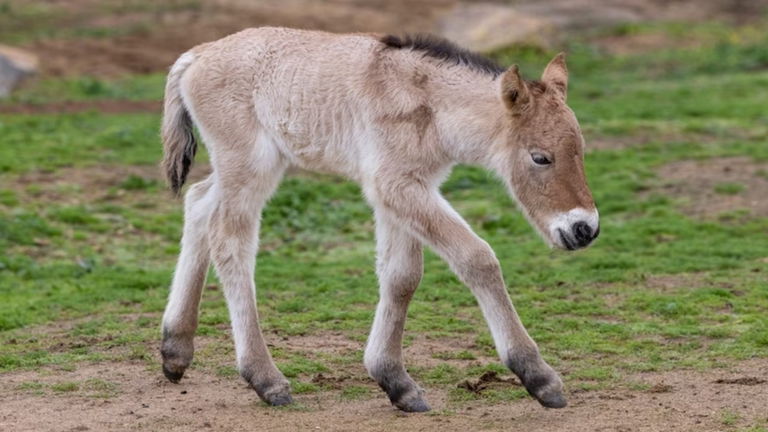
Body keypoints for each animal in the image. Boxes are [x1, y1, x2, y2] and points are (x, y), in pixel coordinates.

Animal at [159, 27, 599, 412]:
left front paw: (395, 382)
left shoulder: (407, 189)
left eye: (580, 148)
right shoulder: (394, 185)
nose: (584, 229)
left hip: (246, 167)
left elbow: (401, 276)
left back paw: (175, 350)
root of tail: (197, 54)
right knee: (229, 242)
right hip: (249, 164)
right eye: (540, 157)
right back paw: (265, 379)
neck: (429, 103)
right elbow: (477, 258)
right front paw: (539, 377)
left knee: (198, 203)